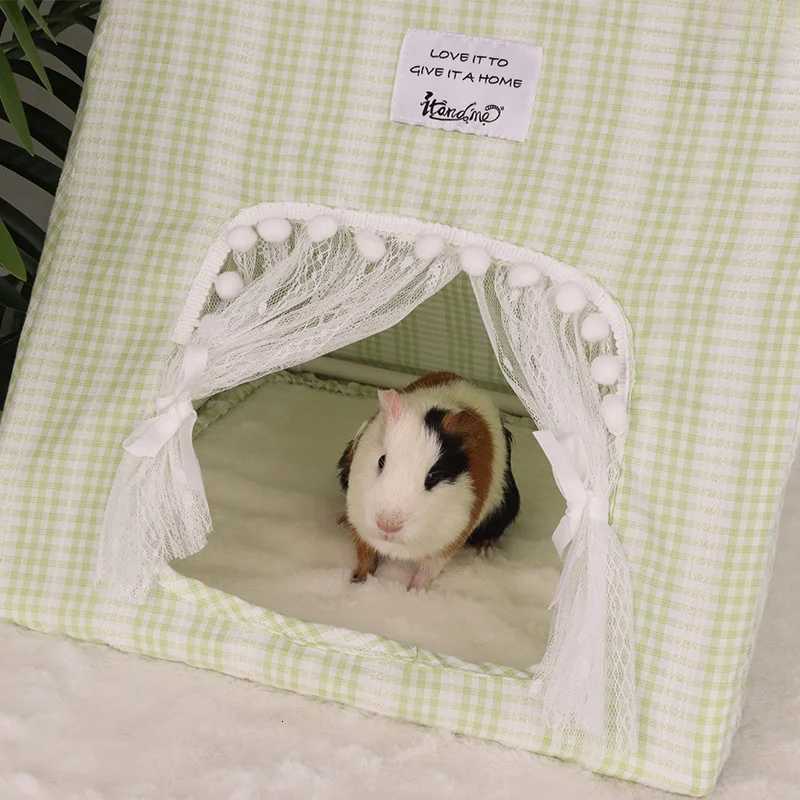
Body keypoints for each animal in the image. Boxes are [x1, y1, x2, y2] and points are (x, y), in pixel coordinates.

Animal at [337, 372, 520, 590]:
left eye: (433, 476)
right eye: (381, 461)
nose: (388, 525)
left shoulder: (452, 537)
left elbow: (429, 568)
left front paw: (414, 591)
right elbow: (365, 555)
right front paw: (358, 581)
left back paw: (485, 551)